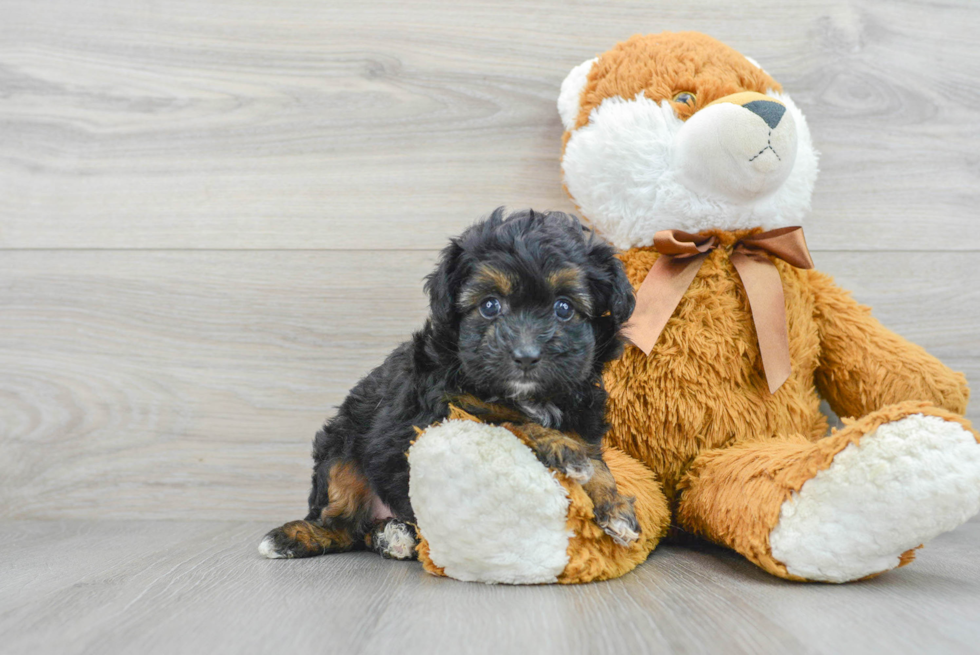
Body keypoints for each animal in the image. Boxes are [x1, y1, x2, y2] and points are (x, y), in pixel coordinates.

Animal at [260, 208, 640, 560]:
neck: (529, 396)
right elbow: (510, 420)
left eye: (564, 308)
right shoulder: (445, 410)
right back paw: (294, 537)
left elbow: (597, 462)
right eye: (490, 305)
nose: (526, 356)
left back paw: (392, 535)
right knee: (341, 522)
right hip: (342, 445)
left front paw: (615, 505)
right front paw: (564, 449)